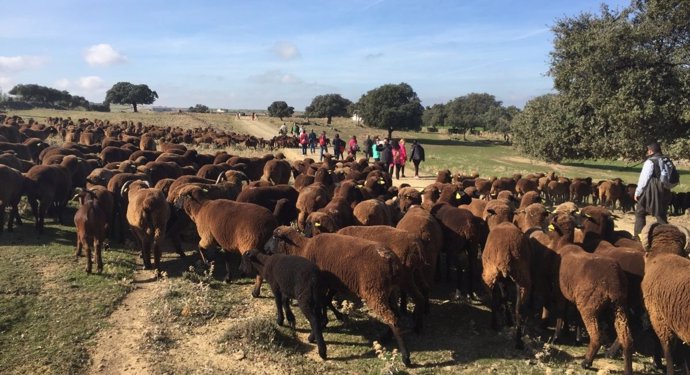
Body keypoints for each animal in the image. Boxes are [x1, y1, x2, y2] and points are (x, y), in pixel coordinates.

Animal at [264, 226, 414, 368]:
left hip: (375, 292)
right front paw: (332, 318)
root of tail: (391, 260)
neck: (302, 248)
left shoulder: (322, 284)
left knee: (392, 319)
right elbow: (326, 301)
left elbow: (322, 305)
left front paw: (319, 328)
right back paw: (386, 337)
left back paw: (405, 357)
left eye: (274, 236)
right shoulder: (333, 283)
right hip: (390, 292)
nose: (264, 248)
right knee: (396, 316)